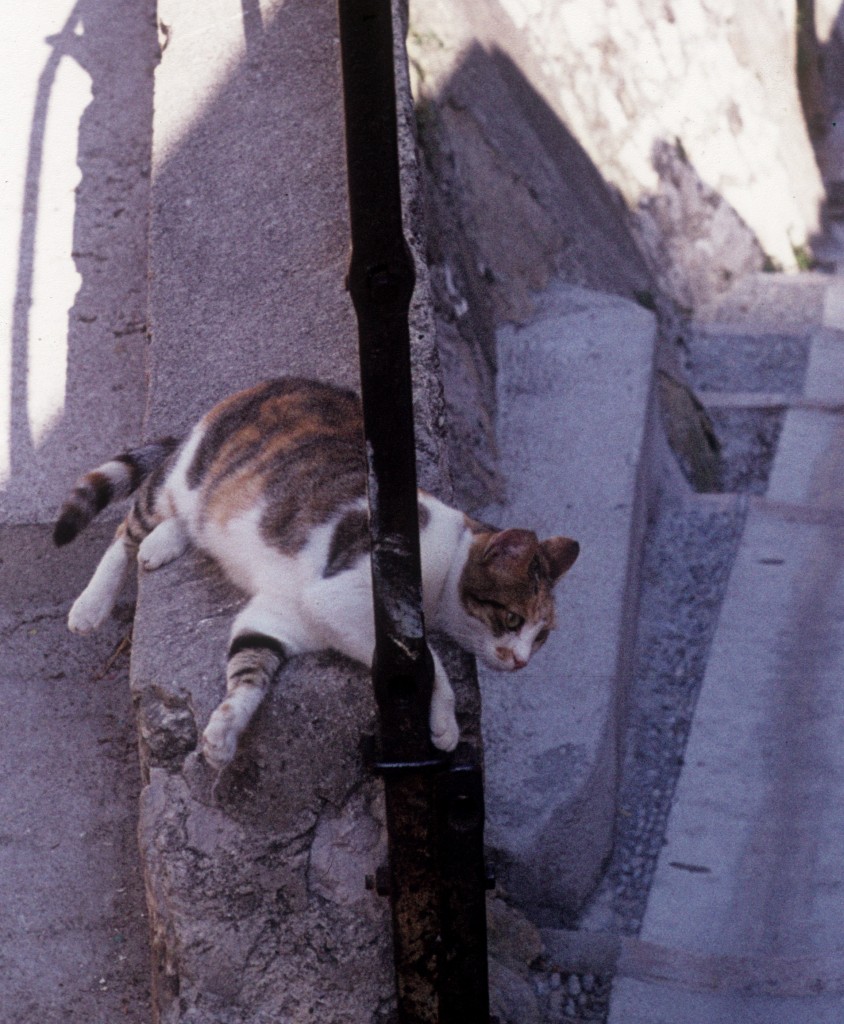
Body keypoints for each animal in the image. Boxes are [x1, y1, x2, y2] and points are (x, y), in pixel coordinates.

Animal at [54, 380, 581, 770]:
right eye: (512, 619)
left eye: (541, 637)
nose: (521, 660)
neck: (447, 557)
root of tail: (252, 389)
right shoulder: (343, 598)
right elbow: (423, 657)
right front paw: (447, 723)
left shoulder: (280, 617)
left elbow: (248, 672)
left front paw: (223, 734)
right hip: (178, 481)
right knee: (126, 528)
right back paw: (92, 604)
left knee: (179, 525)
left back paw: (162, 545)